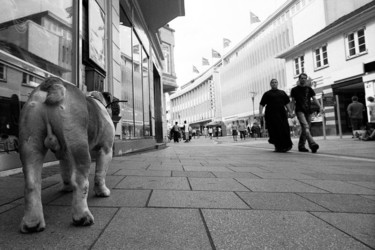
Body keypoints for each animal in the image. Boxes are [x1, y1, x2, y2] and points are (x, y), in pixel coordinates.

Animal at [18, 77, 114, 233]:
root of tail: (54, 83)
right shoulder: (106, 150)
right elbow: (100, 174)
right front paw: (102, 191)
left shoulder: (65, 155)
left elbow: (65, 171)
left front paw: (67, 187)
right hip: (78, 144)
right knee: (81, 181)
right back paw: (82, 216)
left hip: (30, 143)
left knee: (32, 184)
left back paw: (32, 222)